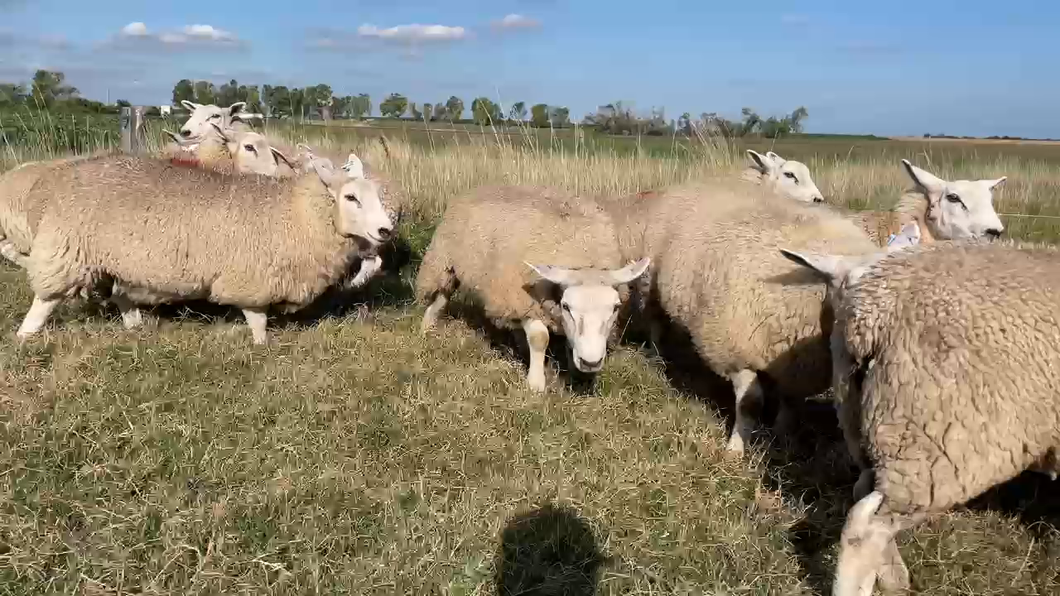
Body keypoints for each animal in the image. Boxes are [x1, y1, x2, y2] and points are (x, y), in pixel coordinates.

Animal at [14, 149, 396, 343]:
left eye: (380, 196)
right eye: (350, 197)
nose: (386, 230)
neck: (294, 213)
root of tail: (56, 179)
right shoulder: (252, 280)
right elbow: (257, 319)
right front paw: (261, 347)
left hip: (116, 259)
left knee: (121, 295)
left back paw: (135, 327)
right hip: (66, 250)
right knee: (45, 299)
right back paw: (24, 335)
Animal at [413, 183, 644, 392]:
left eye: (615, 308)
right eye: (567, 306)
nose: (590, 363)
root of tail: (480, 186)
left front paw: (577, 376)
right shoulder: (525, 300)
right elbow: (540, 338)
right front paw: (536, 383)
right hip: (444, 262)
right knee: (441, 297)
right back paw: (426, 329)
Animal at [610, 178, 881, 451]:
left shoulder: (798, 364)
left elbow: (791, 402)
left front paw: (783, 435)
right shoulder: (734, 350)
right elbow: (749, 403)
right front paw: (735, 449)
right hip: (650, 283)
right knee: (656, 323)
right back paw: (658, 356)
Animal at [780, 237, 1060, 593]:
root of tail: (867, 319)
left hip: (869, 423)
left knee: (865, 497)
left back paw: (894, 580)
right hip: (936, 446)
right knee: (864, 529)